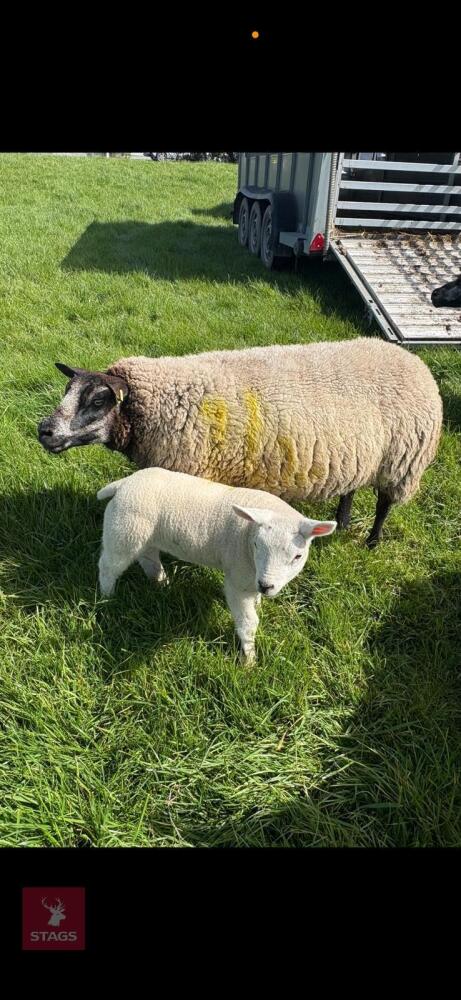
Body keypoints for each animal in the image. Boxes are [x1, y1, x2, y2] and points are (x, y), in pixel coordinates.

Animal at [38, 337, 443, 548]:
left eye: (97, 401)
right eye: (67, 390)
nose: (45, 430)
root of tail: (411, 359)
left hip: (401, 459)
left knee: (385, 503)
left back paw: (372, 541)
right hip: (357, 454)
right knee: (351, 487)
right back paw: (342, 522)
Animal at [96, 467, 337, 662]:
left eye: (298, 556)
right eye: (257, 545)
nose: (266, 586)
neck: (247, 536)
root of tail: (124, 483)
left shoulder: (251, 577)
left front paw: (259, 602)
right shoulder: (238, 580)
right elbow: (248, 623)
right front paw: (249, 661)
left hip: (143, 534)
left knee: (148, 557)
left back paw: (161, 583)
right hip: (123, 530)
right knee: (109, 565)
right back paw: (107, 597)